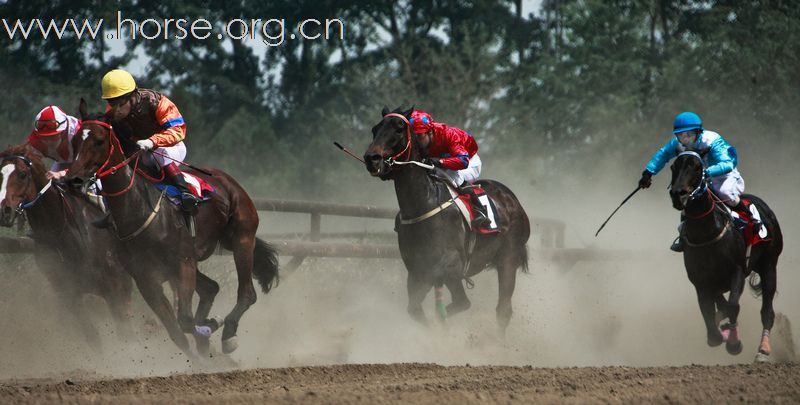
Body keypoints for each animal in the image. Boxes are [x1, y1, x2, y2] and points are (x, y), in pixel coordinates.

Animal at [0, 143, 133, 348]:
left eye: (22, 174)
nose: (3, 211)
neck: (60, 233)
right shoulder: (69, 295)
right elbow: (94, 339)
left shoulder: (113, 287)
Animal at [64, 99, 280, 358]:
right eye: (75, 141)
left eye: (98, 140)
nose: (73, 181)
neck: (139, 211)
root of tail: (228, 181)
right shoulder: (145, 277)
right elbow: (177, 332)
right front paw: (201, 352)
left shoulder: (182, 263)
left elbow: (185, 320)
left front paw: (210, 326)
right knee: (211, 288)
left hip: (241, 239)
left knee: (247, 294)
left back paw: (228, 333)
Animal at [364, 107, 532, 332]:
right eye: (375, 129)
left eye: (399, 129)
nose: (371, 158)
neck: (423, 204)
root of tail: (512, 199)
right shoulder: (418, 270)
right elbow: (415, 309)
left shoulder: (450, 268)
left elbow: (459, 305)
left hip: (508, 258)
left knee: (503, 310)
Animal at [668, 152, 780, 360]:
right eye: (673, 167)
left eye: (697, 168)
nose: (678, 194)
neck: (707, 233)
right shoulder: (701, 280)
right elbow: (709, 310)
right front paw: (717, 333)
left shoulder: (737, 271)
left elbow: (733, 306)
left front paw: (734, 343)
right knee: (722, 305)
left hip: (769, 265)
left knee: (767, 311)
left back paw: (763, 350)